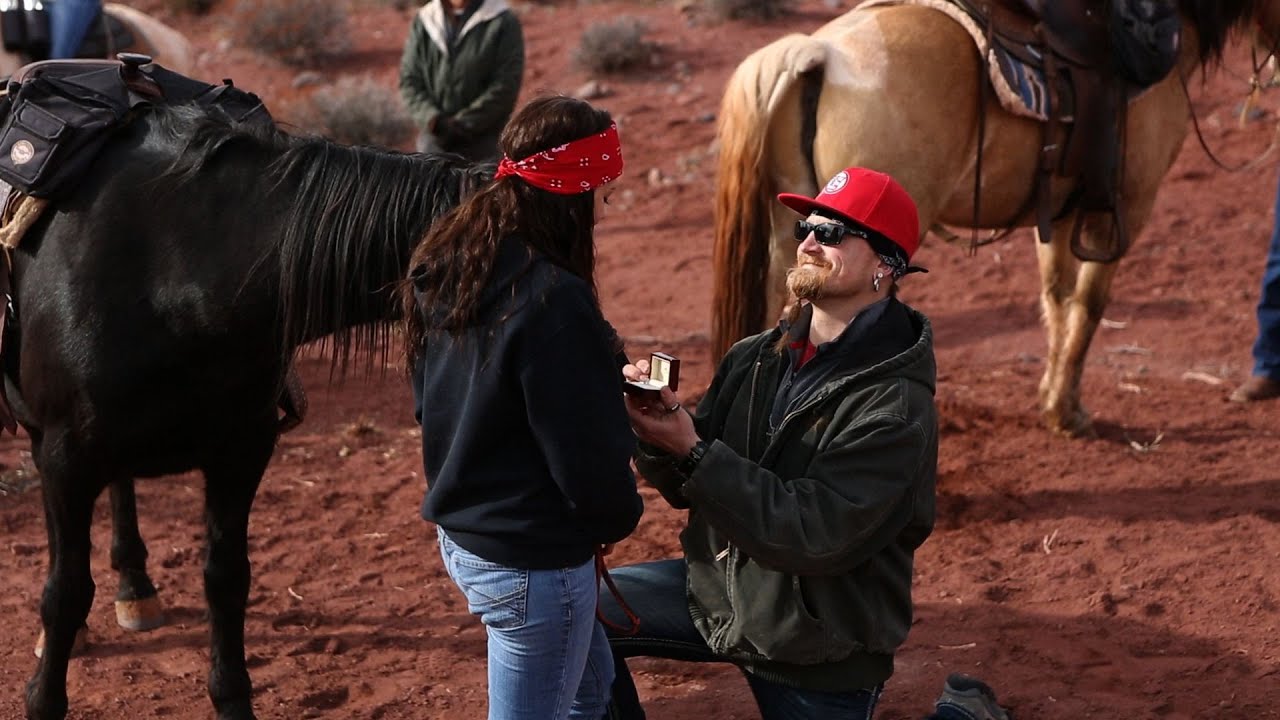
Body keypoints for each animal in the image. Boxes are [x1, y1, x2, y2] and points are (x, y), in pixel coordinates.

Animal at [7, 102, 486, 717]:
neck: (176, 274)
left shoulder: (241, 452)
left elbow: (227, 578)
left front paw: (233, 697)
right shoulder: (67, 458)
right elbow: (65, 591)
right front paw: (44, 696)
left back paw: (136, 586)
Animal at [716, 0, 1274, 430]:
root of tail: (821, 54)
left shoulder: (1061, 217)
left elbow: (1057, 297)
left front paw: (1052, 401)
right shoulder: (1124, 212)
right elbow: (1089, 305)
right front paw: (1068, 412)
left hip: (794, 238)